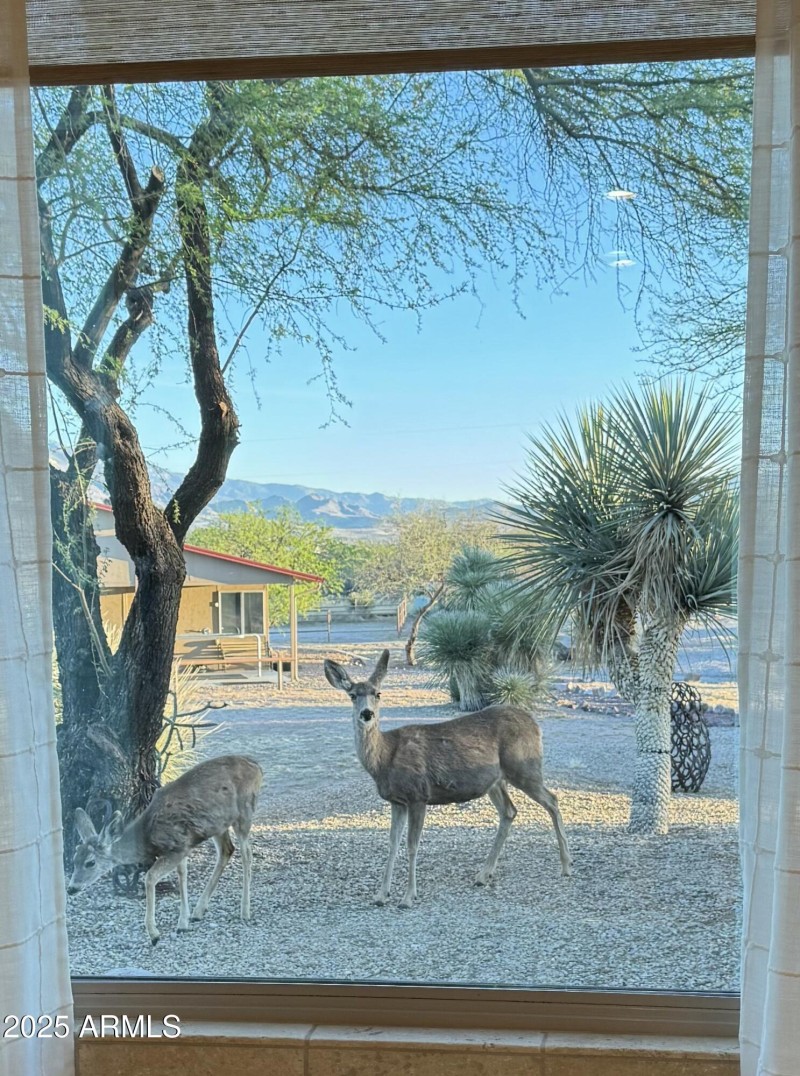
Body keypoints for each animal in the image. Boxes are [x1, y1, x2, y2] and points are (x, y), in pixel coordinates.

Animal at [67, 754, 263, 945]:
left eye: (90, 862)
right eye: (74, 859)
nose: (71, 888)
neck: (147, 835)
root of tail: (257, 768)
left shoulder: (177, 848)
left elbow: (150, 877)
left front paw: (154, 934)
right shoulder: (183, 846)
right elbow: (182, 874)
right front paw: (183, 923)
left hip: (244, 811)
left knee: (247, 854)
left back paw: (245, 912)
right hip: (218, 824)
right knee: (226, 850)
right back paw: (199, 911)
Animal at [324, 649, 572, 908]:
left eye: (378, 693)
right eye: (352, 695)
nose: (367, 713)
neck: (385, 758)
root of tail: (535, 724)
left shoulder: (418, 795)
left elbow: (412, 845)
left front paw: (408, 897)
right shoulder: (397, 801)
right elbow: (392, 844)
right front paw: (381, 895)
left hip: (524, 768)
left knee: (552, 800)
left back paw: (566, 865)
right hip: (496, 781)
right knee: (510, 811)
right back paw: (483, 875)